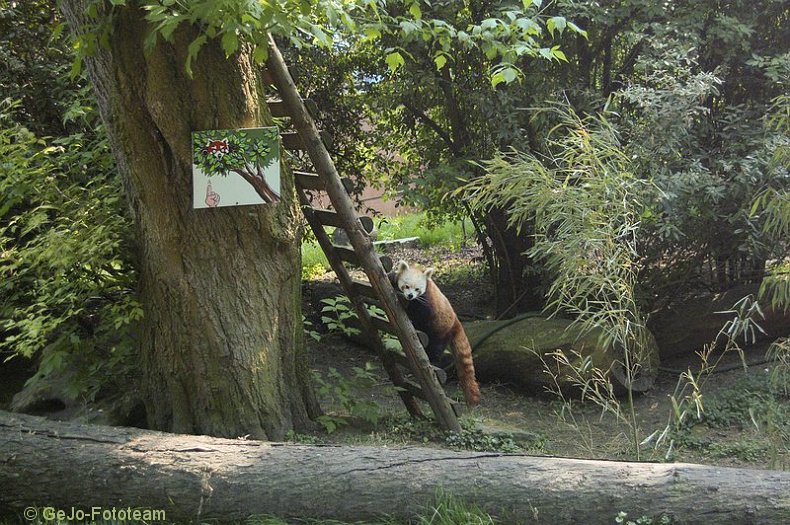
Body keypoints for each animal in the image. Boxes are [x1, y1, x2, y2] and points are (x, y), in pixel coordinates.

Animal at [392, 260, 482, 406]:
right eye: (406, 286)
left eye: (417, 289)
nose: (410, 296)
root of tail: (456, 321)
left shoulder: (426, 302)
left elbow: (420, 312)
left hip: (441, 331)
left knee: (435, 347)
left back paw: (432, 359)